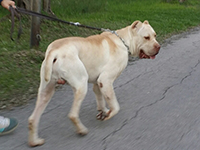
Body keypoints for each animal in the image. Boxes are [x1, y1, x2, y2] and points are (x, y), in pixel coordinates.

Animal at [28, 20, 160, 146]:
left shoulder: (98, 84)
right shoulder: (105, 80)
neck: (123, 41)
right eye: (146, 37)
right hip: (81, 85)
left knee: (32, 118)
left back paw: (34, 141)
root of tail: (54, 51)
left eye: (155, 35)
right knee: (73, 115)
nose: (158, 47)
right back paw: (82, 130)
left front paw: (103, 111)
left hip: (46, 91)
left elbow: (101, 99)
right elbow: (115, 105)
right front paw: (108, 114)